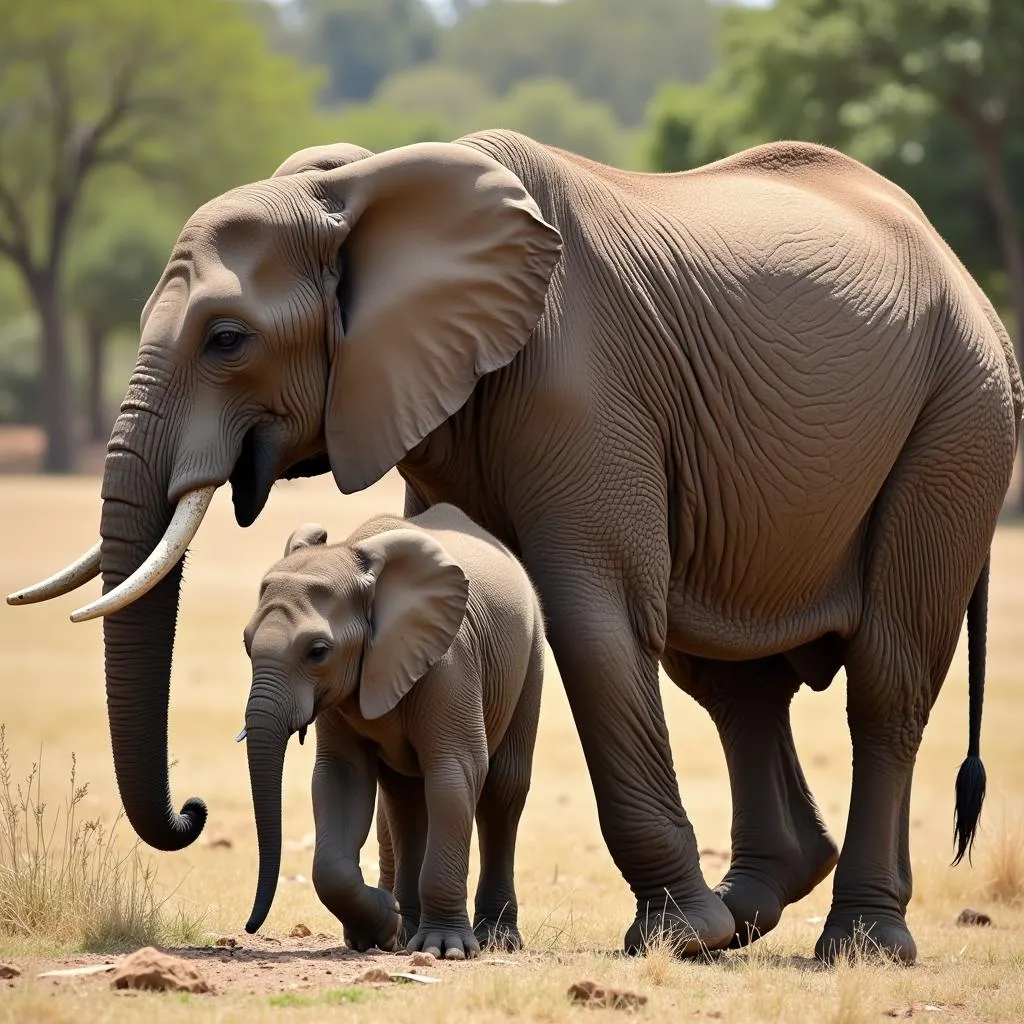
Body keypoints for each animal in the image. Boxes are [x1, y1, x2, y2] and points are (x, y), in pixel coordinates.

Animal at [239, 503, 548, 958]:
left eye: (318, 652)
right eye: (246, 644)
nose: (250, 926)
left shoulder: (450, 662)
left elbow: (457, 773)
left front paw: (443, 949)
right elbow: (340, 779)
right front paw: (384, 924)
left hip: (531, 655)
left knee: (502, 789)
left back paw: (495, 940)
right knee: (405, 800)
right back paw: (404, 934)